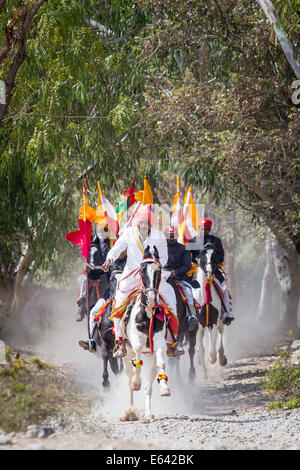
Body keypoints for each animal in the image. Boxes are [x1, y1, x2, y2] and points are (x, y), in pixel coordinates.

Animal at [120, 246, 170, 418]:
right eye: (142, 271)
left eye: (159, 270)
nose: (152, 298)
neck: (148, 314)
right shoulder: (136, 340)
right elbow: (137, 353)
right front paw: (137, 382)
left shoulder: (159, 342)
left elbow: (162, 363)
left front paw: (165, 388)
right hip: (125, 354)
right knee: (129, 378)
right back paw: (130, 410)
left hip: (151, 357)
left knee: (148, 386)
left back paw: (148, 413)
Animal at [192, 242, 227, 378]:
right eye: (202, 256)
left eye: (214, 256)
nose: (209, 271)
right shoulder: (199, 325)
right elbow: (201, 349)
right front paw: (204, 373)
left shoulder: (213, 321)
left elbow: (212, 349)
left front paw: (212, 359)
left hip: (221, 320)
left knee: (221, 333)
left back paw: (222, 358)